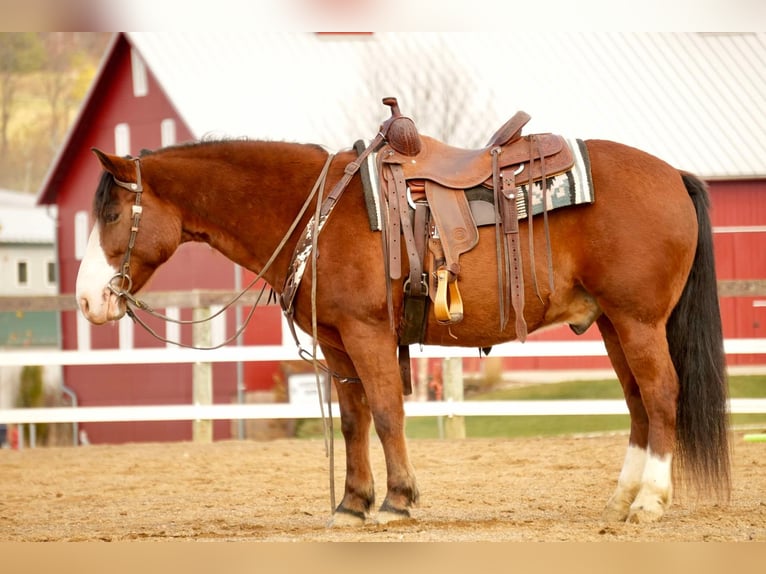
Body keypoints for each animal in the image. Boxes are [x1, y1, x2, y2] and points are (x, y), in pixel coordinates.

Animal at [76, 103, 732, 528]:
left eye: (112, 215)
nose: (86, 300)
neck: (316, 209)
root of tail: (674, 174)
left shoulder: (367, 333)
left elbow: (388, 413)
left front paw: (398, 500)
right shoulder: (336, 343)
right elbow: (353, 420)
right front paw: (352, 503)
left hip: (638, 321)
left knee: (662, 395)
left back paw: (649, 502)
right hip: (612, 324)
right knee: (638, 403)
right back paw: (622, 501)